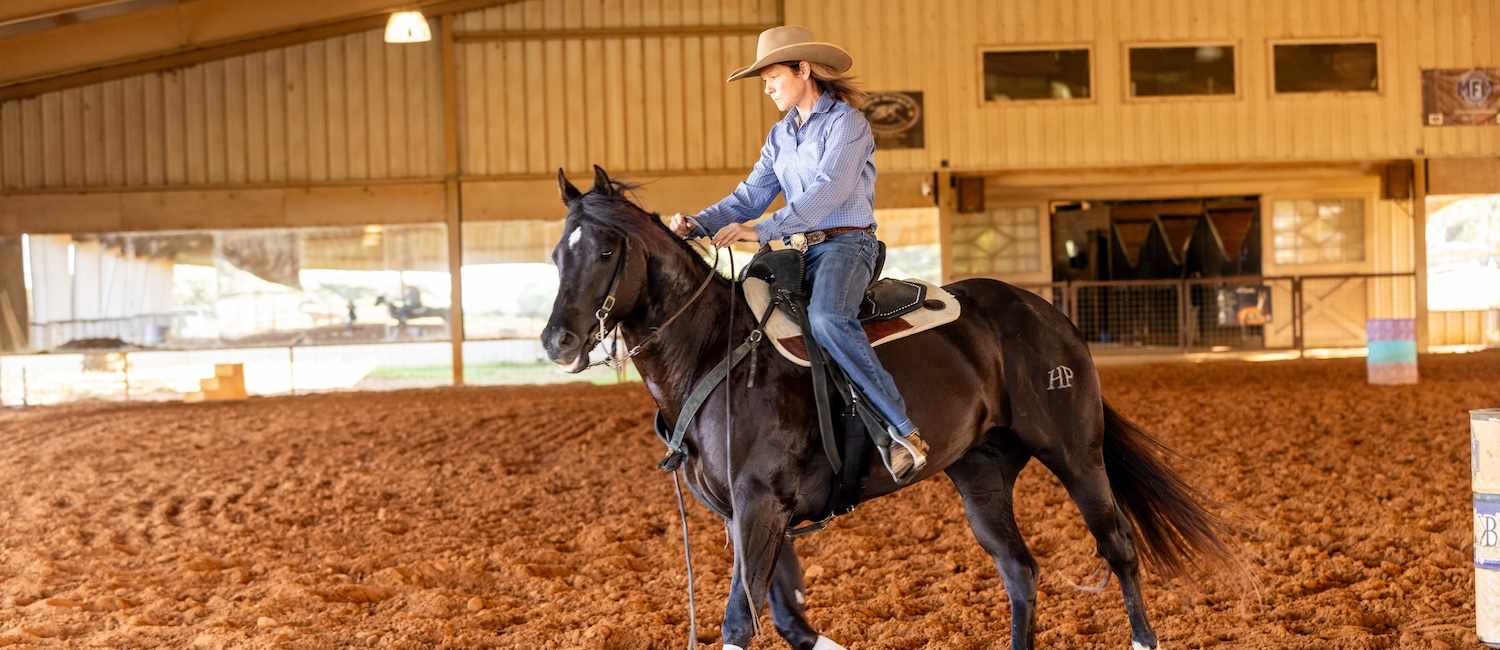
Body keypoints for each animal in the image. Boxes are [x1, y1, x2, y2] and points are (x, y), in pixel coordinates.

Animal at [541, 167, 1238, 650]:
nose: (557, 341)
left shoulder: (761, 503)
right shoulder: (749, 515)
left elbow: (742, 621)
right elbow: (787, 617)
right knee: (1020, 570)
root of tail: (1049, 315)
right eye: (556, 254)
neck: (719, 352)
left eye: (605, 251)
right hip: (981, 475)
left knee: (1117, 546)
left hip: (1075, 453)